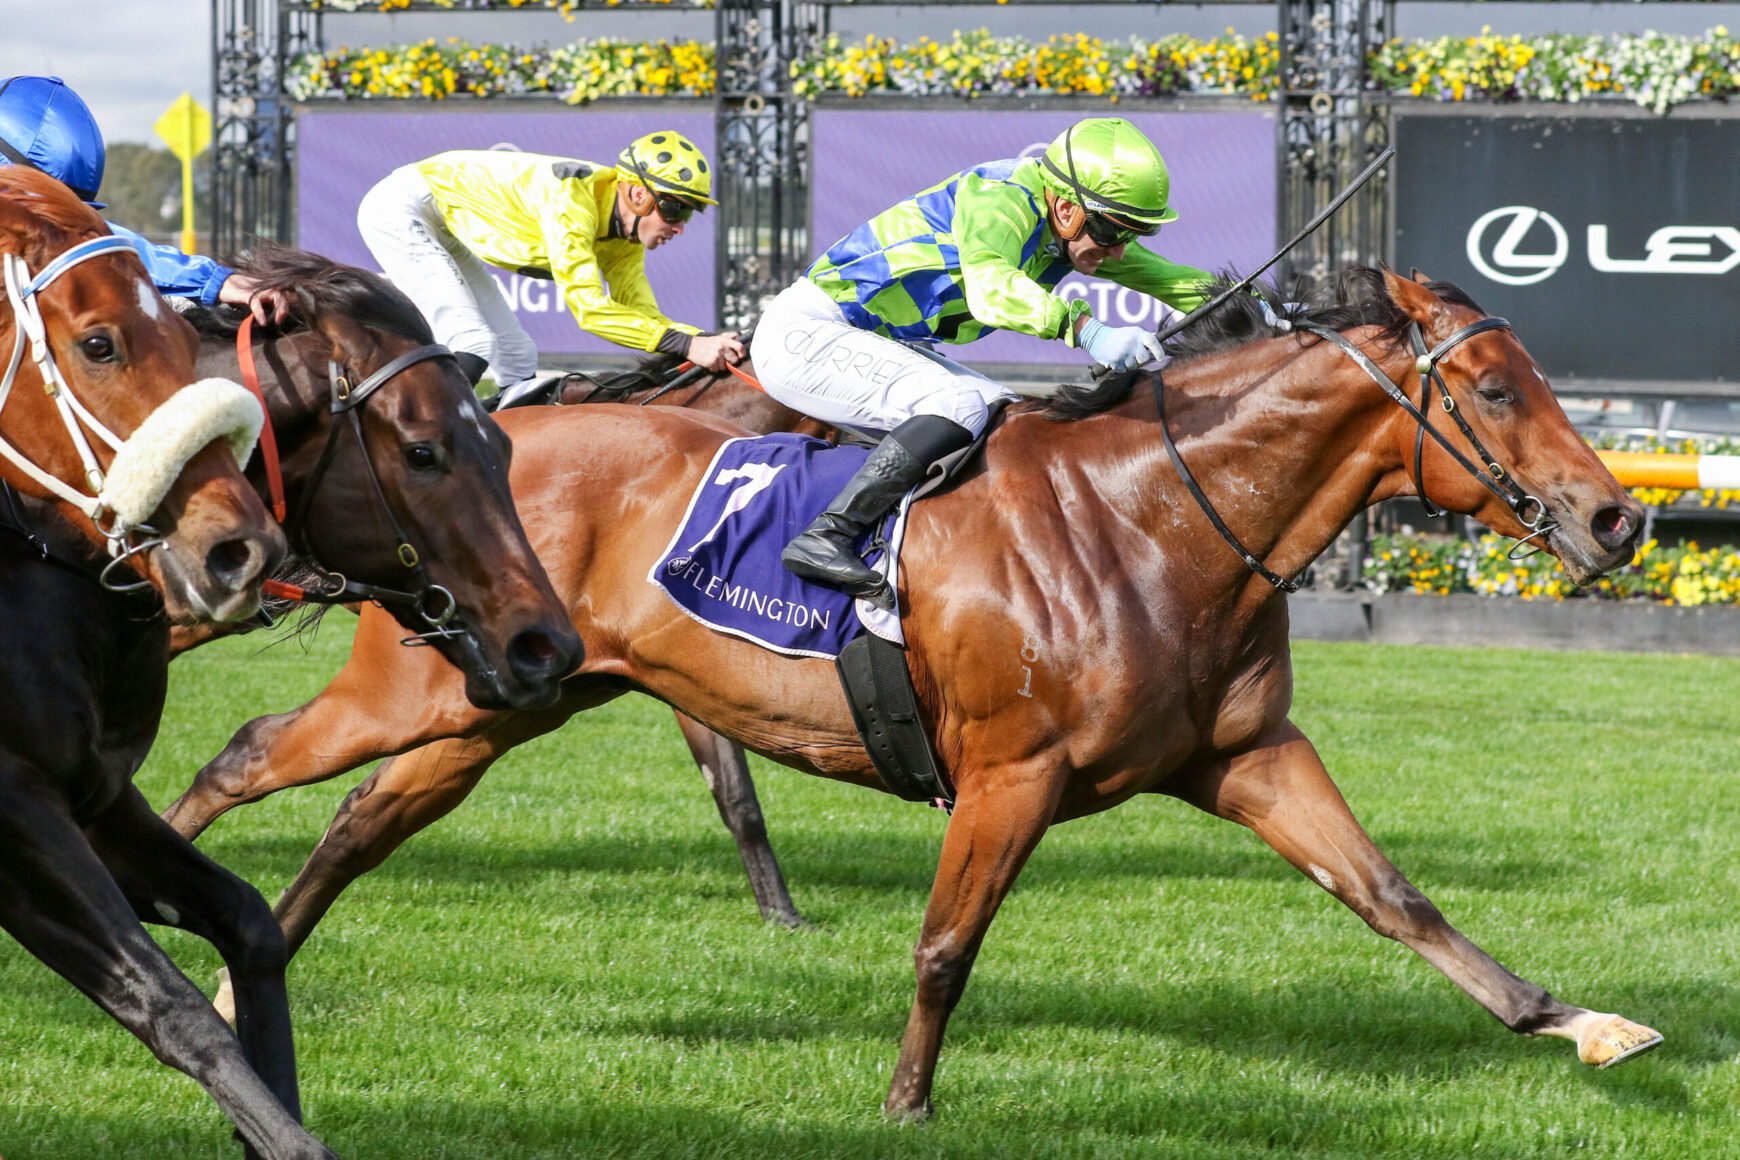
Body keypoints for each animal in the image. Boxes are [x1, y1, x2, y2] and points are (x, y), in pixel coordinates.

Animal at [0, 170, 334, 1159]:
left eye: (188, 343)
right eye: (98, 342)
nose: (241, 550)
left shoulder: (97, 797)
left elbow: (250, 924)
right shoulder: (15, 809)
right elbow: (167, 998)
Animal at [168, 267, 1658, 1119]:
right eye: (1490, 386)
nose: (1615, 519)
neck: (1155, 513)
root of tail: (474, 435)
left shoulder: (1245, 753)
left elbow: (1396, 896)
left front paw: (1581, 1023)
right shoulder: (1010, 770)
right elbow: (947, 945)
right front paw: (905, 1105)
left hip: (501, 702)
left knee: (355, 825)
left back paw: (245, 987)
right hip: (419, 693)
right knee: (240, 757)